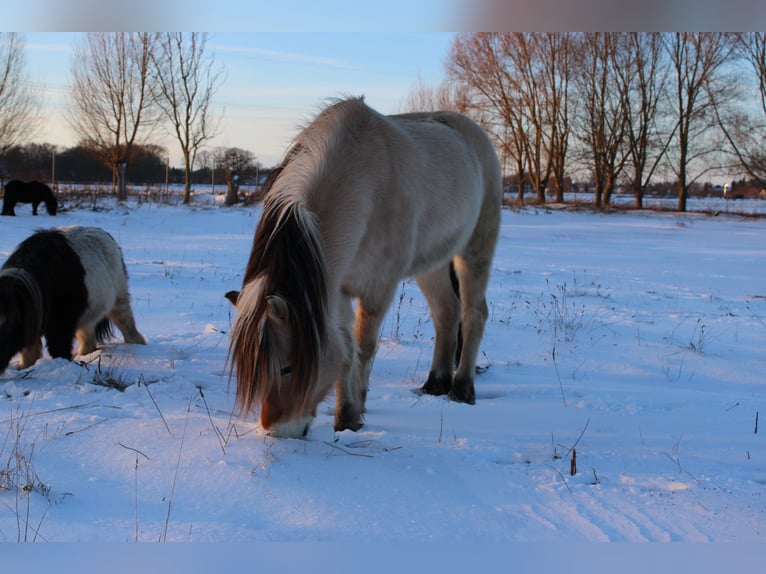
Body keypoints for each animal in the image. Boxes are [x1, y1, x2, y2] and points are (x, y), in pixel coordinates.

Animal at [0, 226, 146, 374]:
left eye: (5, 323)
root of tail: (104, 233)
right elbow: (29, 354)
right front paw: (24, 368)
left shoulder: (60, 323)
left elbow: (58, 347)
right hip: (88, 313)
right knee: (88, 339)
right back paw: (84, 356)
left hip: (118, 298)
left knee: (127, 324)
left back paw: (137, 345)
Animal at [227, 96, 502, 438]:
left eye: (288, 367)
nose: (277, 430)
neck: (360, 182)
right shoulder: (336, 289)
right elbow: (345, 349)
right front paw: (347, 414)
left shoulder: (377, 288)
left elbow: (364, 347)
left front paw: (351, 415)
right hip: (431, 265)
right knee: (446, 313)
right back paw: (435, 384)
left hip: (475, 249)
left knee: (473, 313)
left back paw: (462, 390)